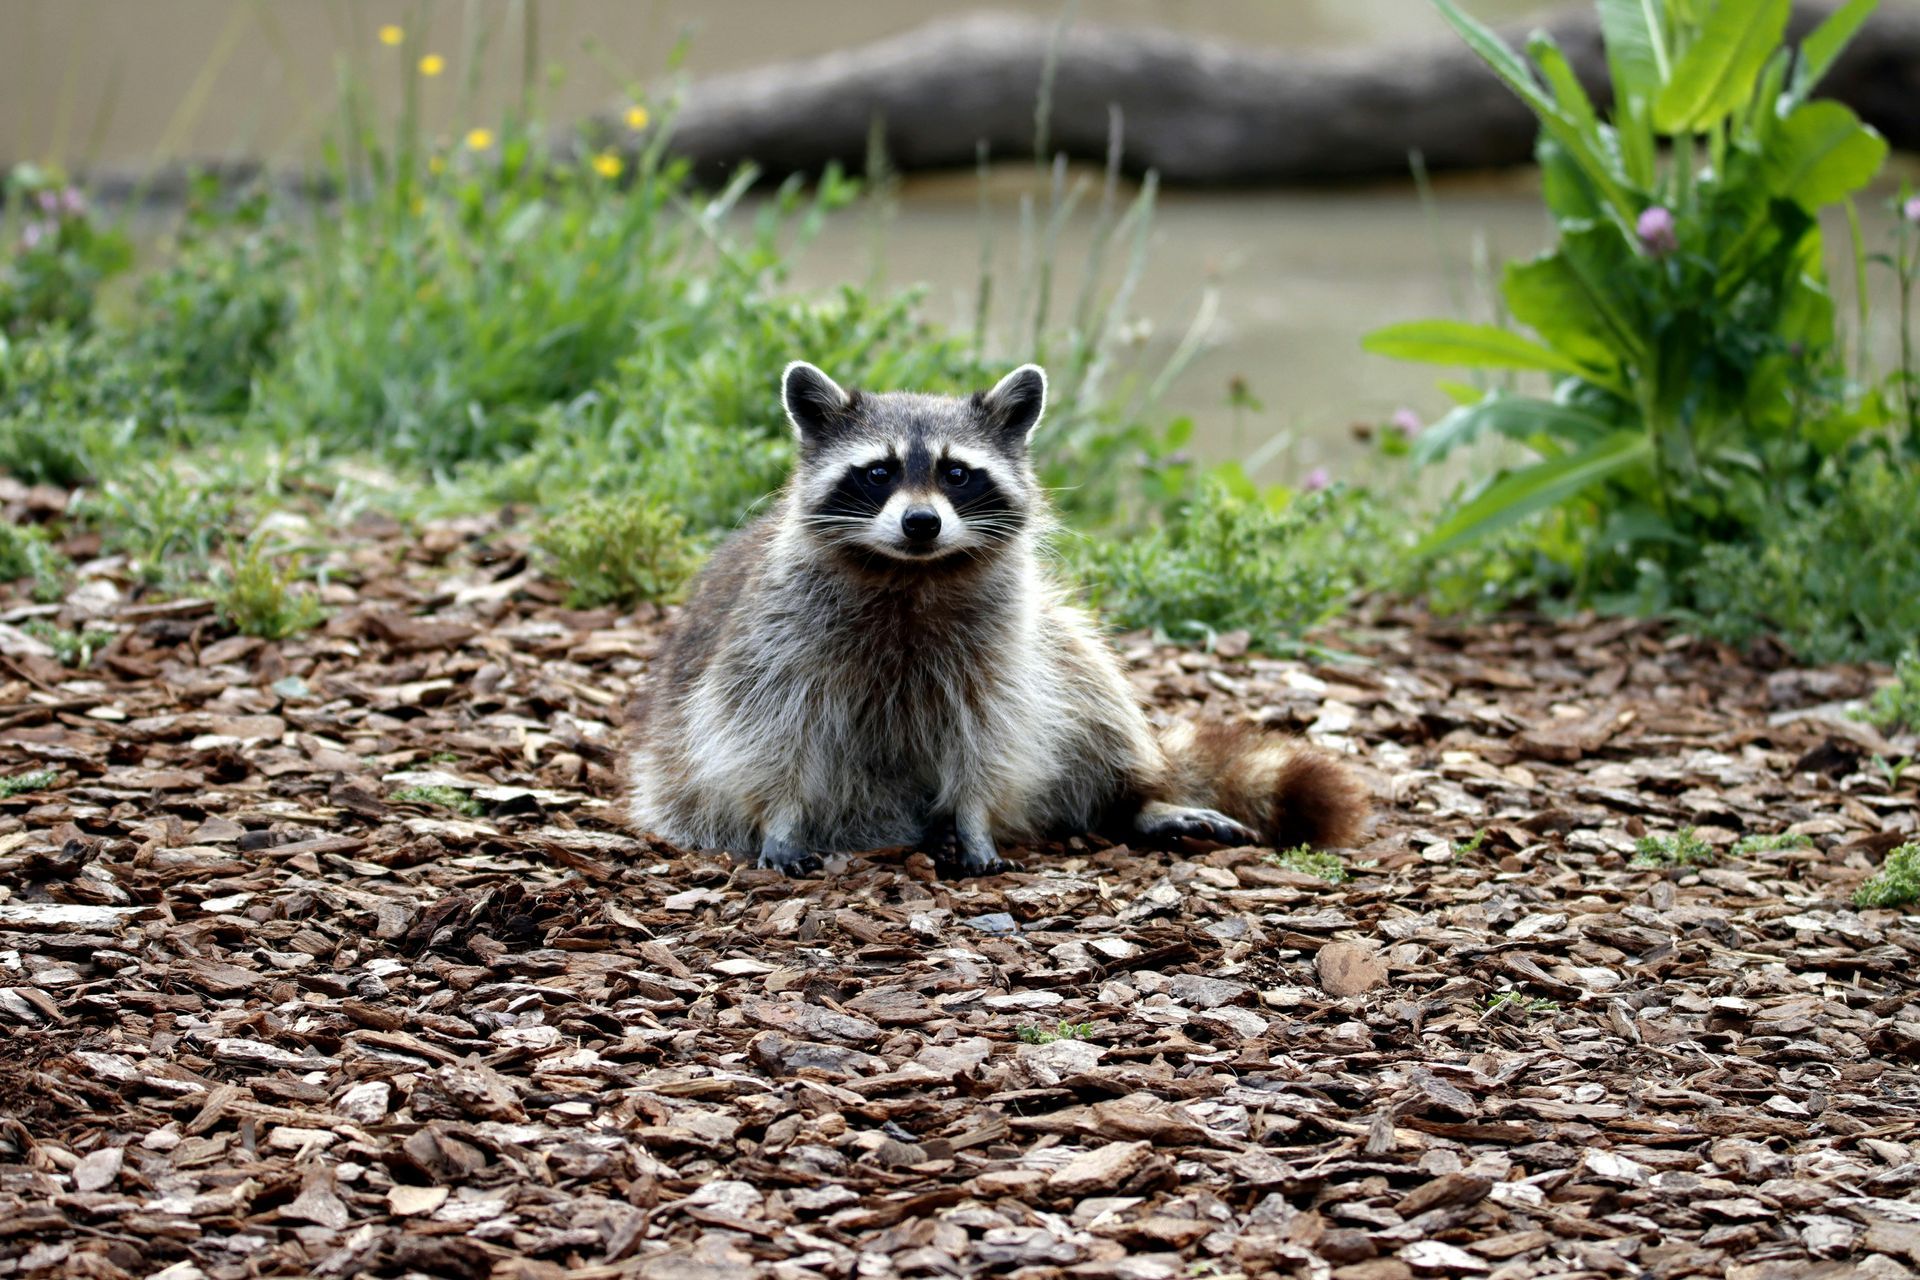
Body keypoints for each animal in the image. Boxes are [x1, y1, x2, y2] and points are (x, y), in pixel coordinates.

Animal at [623, 360, 1369, 875]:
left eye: (957, 474)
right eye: (877, 473)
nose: (921, 523)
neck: (912, 573)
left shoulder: (1001, 644)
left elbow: (992, 732)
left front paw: (977, 818)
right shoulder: (776, 637)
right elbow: (768, 732)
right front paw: (780, 818)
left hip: (1046, 632)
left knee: (1086, 678)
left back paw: (1134, 798)